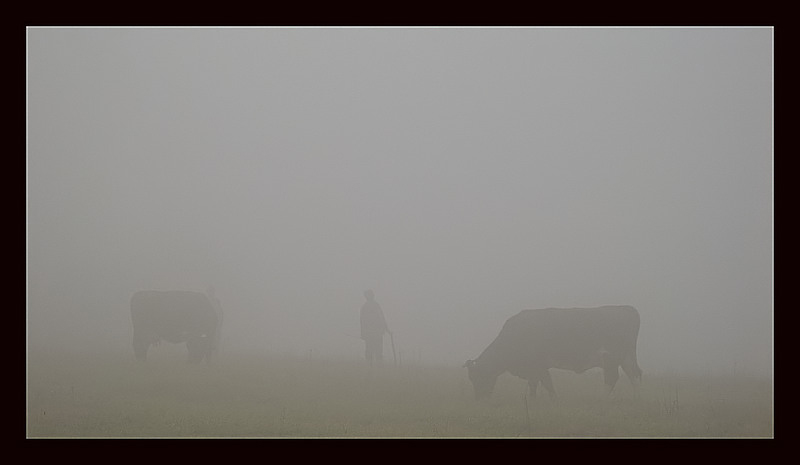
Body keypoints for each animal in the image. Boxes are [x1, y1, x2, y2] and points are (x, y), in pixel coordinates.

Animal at [462, 304, 644, 398]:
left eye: (476, 377)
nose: (480, 398)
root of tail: (626, 308)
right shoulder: (534, 369)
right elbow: (536, 385)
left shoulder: (538, 366)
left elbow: (546, 384)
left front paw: (551, 401)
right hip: (625, 357)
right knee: (634, 375)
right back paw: (636, 400)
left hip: (611, 358)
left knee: (612, 378)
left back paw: (602, 399)